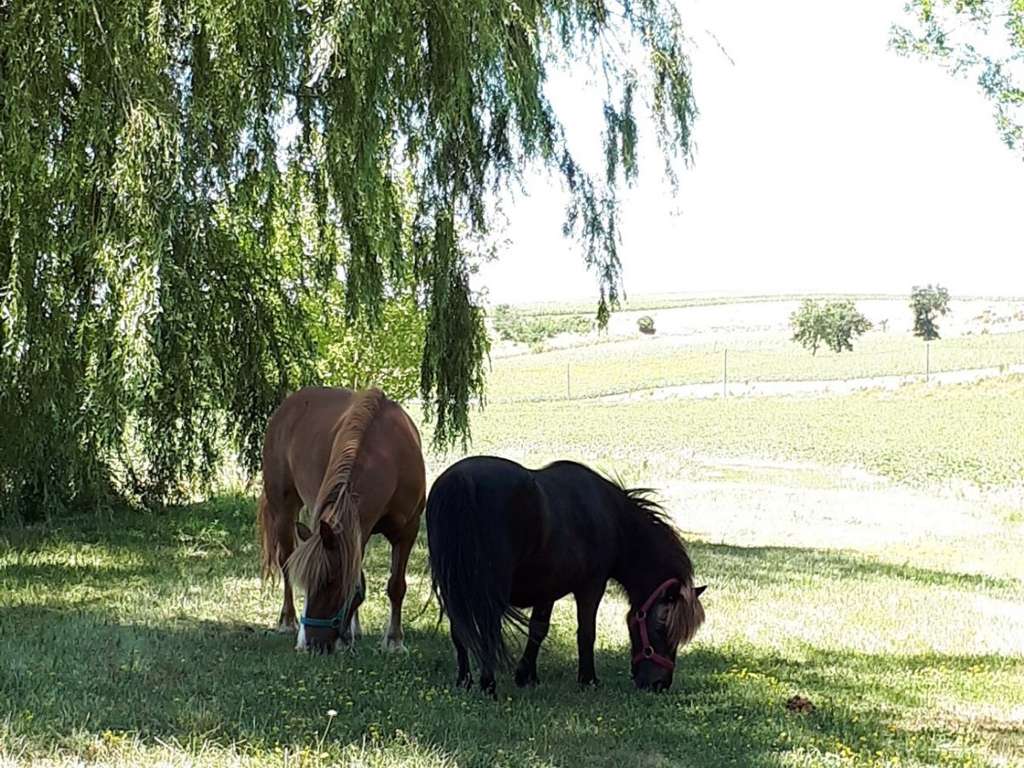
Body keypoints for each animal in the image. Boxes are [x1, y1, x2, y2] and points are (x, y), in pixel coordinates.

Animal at [264, 387, 428, 651]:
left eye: (331, 581)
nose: (310, 644)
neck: (390, 456)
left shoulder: (406, 531)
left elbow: (395, 585)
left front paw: (393, 640)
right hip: (283, 510)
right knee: (285, 560)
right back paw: (287, 621)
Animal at [423, 456, 704, 696]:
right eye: (661, 627)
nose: (659, 684)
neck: (611, 517)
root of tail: (460, 480)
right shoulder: (591, 587)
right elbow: (586, 633)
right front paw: (588, 680)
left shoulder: (546, 589)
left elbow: (538, 629)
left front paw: (527, 676)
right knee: (488, 629)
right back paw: (488, 685)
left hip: (454, 587)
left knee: (460, 629)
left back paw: (465, 681)